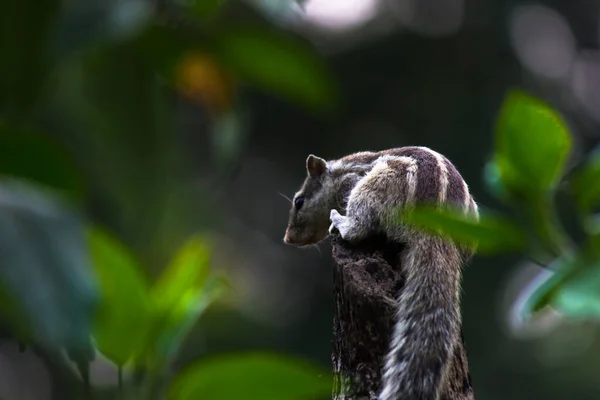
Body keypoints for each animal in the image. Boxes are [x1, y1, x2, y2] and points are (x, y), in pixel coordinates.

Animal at [284, 146, 480, 400]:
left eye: (299, 201)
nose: (288, 238)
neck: (336, 174)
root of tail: (437, 227)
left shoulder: (350, 183)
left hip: (373, 189)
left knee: (360, 227)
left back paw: (341, 222)